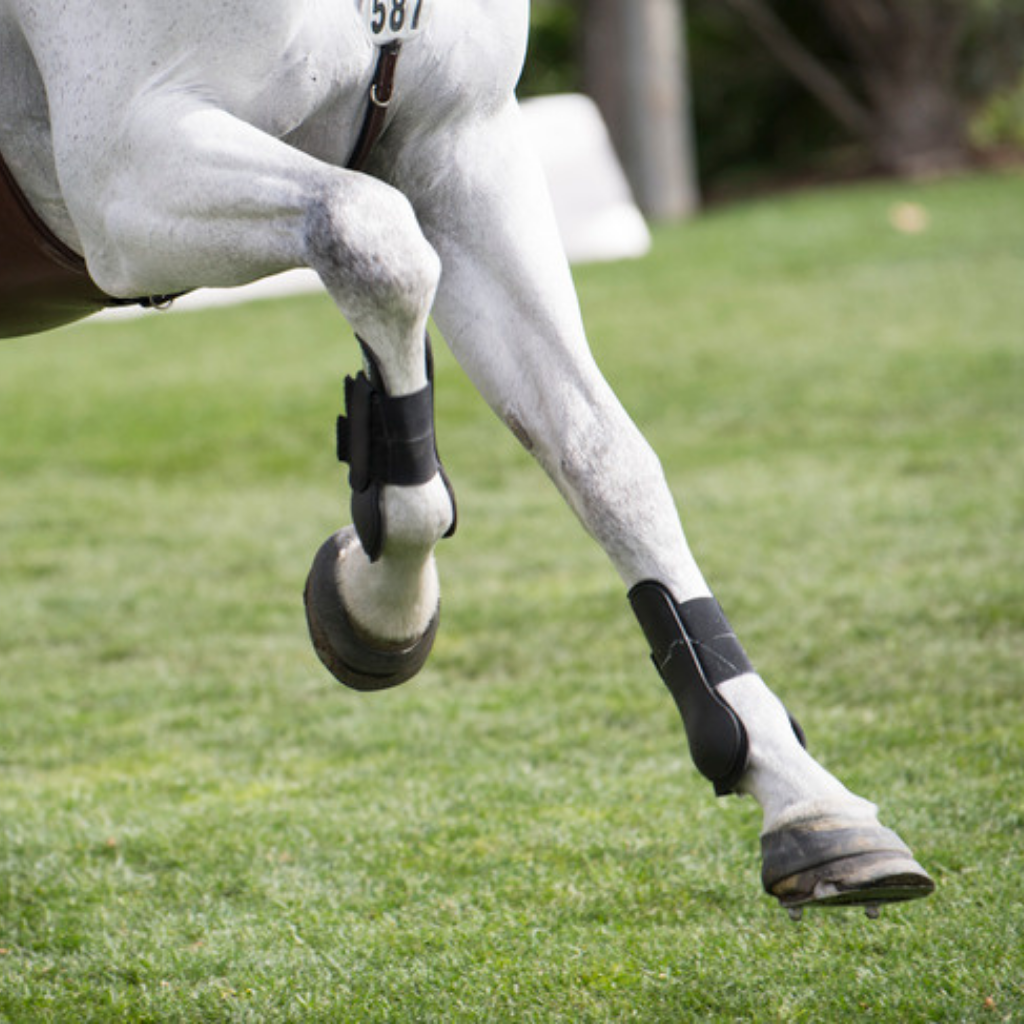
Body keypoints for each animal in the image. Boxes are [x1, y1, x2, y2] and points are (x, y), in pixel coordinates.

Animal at [0, 0, 933, 918]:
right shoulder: (124, 174)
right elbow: (373, 241)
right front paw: (378, 603)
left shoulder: (462, 151)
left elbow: (599, 454)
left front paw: (802, 796)